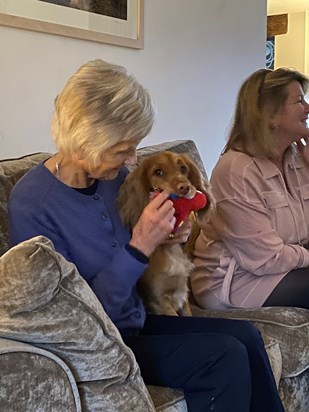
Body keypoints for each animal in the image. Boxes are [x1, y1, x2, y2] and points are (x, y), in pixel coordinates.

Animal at [116, 150, 213, 316]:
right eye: (158, 172)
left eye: (183, 168)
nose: (185, 187)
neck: (169, 246)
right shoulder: (159, 301)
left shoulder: (183, 296)